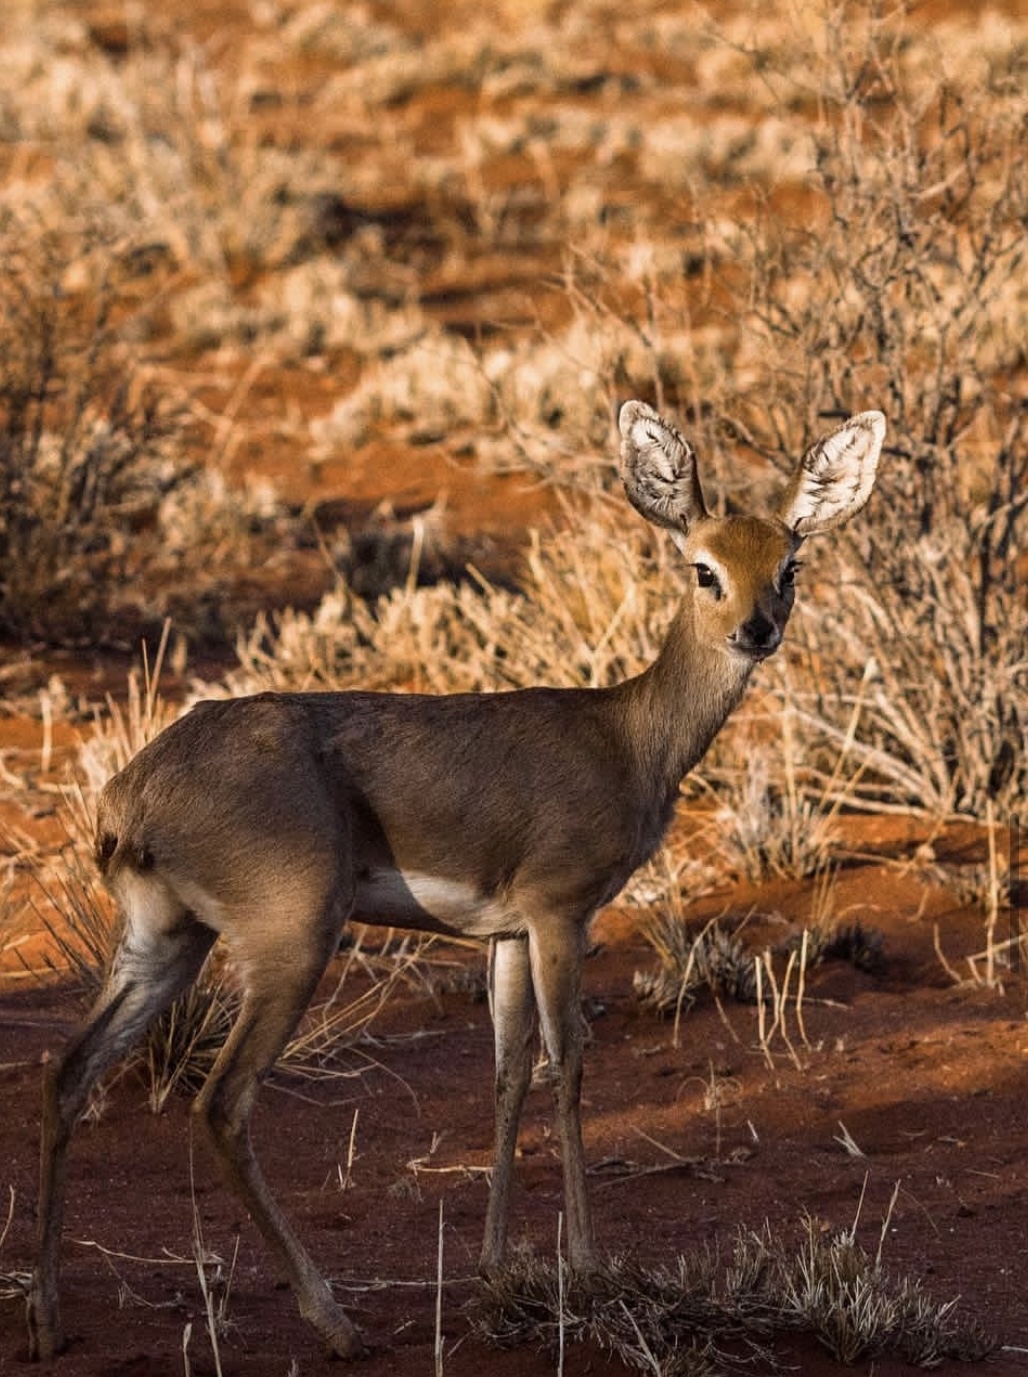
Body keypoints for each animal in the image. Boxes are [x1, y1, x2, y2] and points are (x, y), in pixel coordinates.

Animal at [30, 402, 886, 1360]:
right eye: (704, 567)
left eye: (788, 564)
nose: (756, 629)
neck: (627, 736)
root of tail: (131, 792)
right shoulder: (559, 914)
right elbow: (568, 1061)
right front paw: (587, 1262)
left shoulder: (506, 934)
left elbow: (508, 1070)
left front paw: (494, 1261)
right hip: (291, 939)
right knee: (220, 1103)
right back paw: (335, 1321)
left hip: (166, 940)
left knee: (68, 1072)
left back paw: (48, 1321)